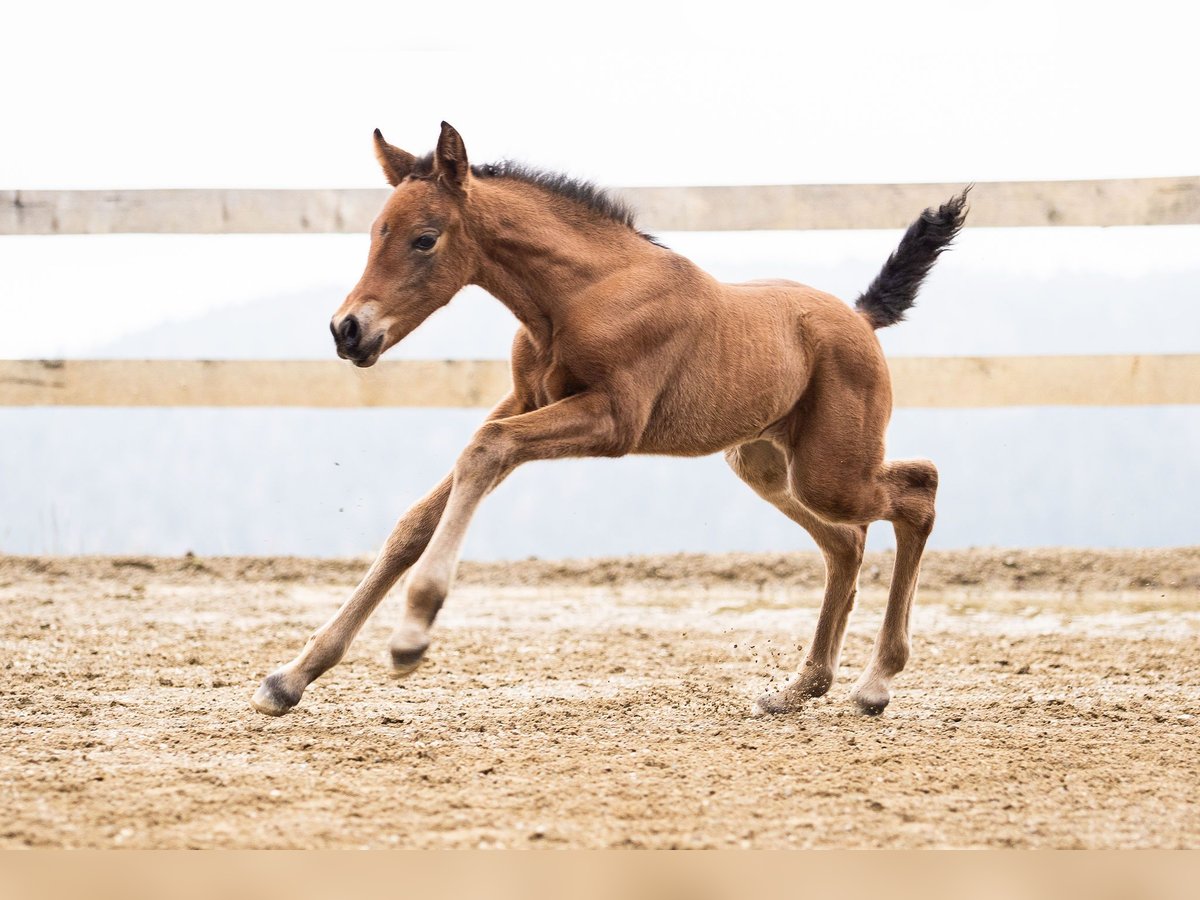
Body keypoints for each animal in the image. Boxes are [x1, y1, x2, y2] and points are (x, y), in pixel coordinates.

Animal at [252, 122, 968, 719]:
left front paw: (412, 633)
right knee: (845, 542)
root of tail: (861, 317)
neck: (580, 295)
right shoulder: (528, 399)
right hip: (766, 464)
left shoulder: (612, 421)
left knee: (919, 490)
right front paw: (289, 678)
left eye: (424, 239)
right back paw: (799, 688)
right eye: (374, 233)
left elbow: (486, 448)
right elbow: (417, 521)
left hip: (829, 471)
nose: (348, 331)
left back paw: (875, 682)